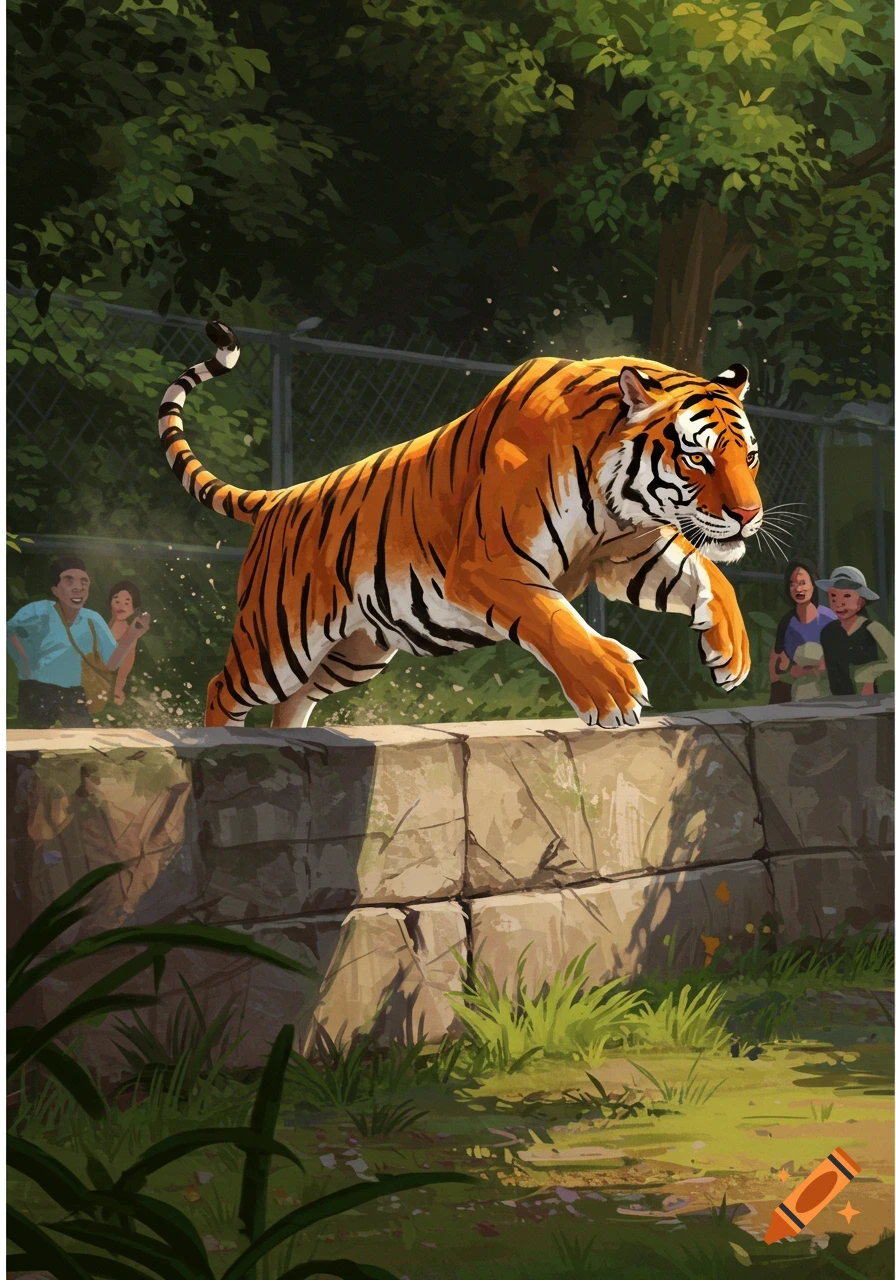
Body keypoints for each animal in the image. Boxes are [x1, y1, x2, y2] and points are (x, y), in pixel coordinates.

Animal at [159, 321, 763, 729]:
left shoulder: (627, 553)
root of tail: (281, 498)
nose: (749, 515)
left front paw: (731, 652)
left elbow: (710, 575)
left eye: (749, 457)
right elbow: (551, 619)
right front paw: (611, 688)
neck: (614, 499)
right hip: (276, 644)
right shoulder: (488, 563)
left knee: (293, 701)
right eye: (698, 458)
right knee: (222, 688)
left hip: (353, 653)